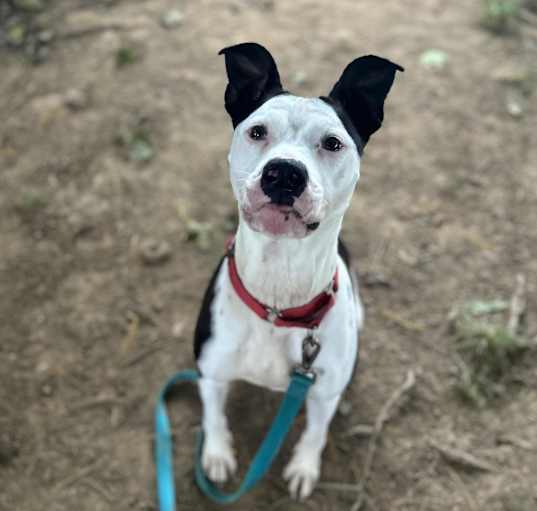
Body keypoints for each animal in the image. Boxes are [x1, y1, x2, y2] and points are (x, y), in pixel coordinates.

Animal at [193, 43, 402, 500]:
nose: (285, 172)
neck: (278, 301)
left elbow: (315, 433)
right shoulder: (211, 371)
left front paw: (304, 467)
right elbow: (213, 414)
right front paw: (216, 454)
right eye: (257, 132)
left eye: (332, 143)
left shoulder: (321, 392)